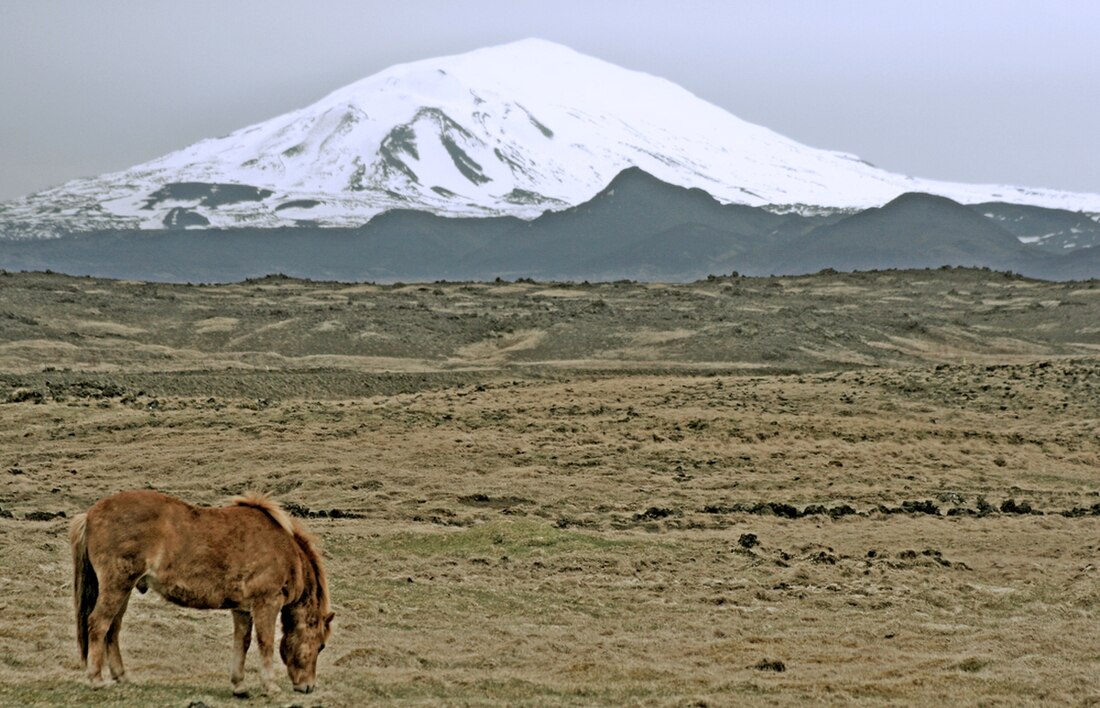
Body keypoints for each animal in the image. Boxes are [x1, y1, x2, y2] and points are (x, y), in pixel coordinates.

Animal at [69, 490, 332, 694]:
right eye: (320, 646)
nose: (308, 687)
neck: (285, 551)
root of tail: (90, 515)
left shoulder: (242, 609)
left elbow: (243, 642)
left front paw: (239, 685)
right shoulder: (266, 604)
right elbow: (265, 643)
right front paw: (271, 687)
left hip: (124, 589)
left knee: (113, 629)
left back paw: (121, 676)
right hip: (117, 585)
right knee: (99, 624)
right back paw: (96, 680)